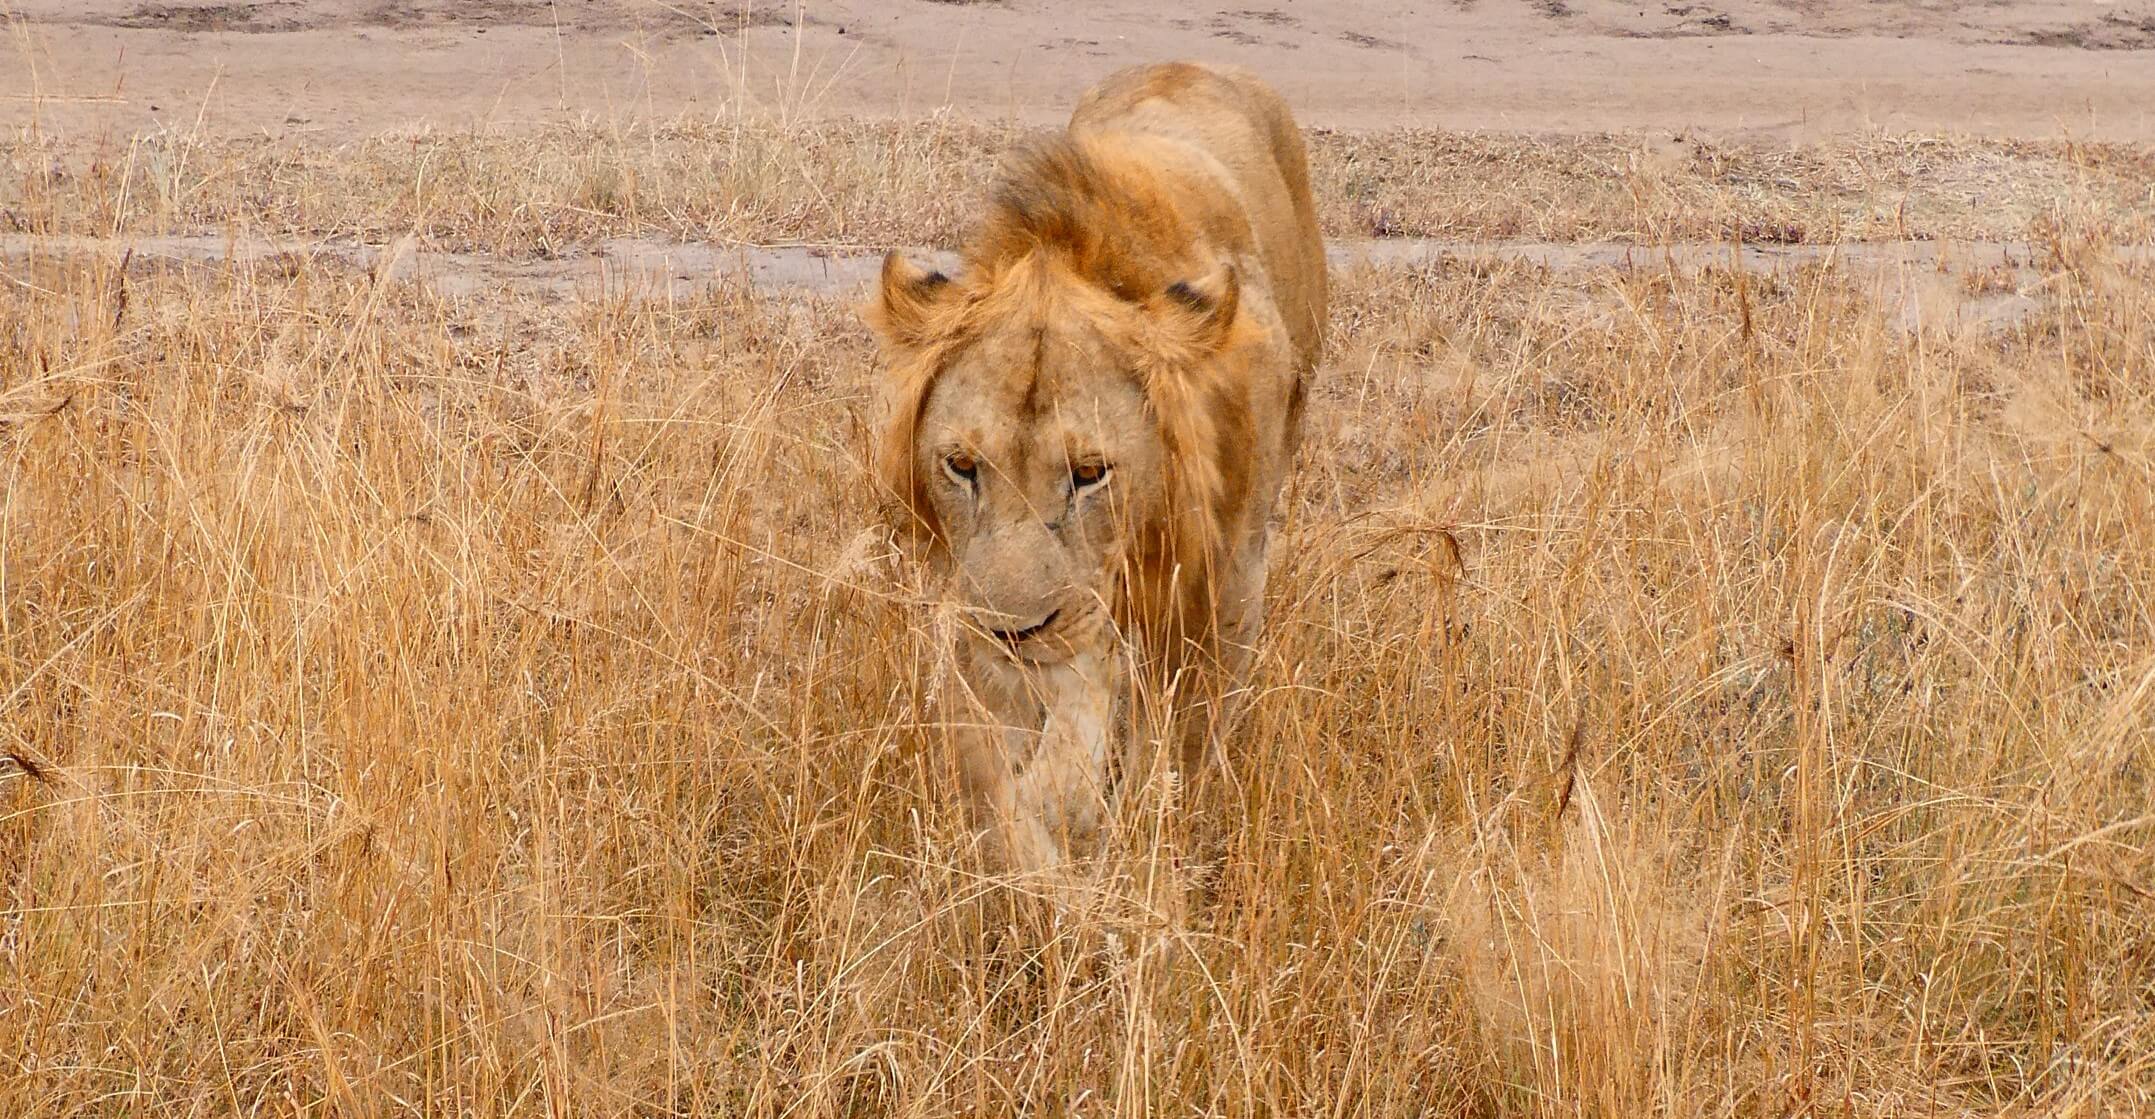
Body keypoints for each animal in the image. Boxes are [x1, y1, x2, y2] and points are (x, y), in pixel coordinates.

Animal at [866, 61, 1327, 872]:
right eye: (961, 465)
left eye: (1089, 473)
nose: (1014, 632)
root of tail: (1195, 65)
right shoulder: (982, 608)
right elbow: (1003, 771)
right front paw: (1040, 849)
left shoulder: (1225, 587)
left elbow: (1179, 739)